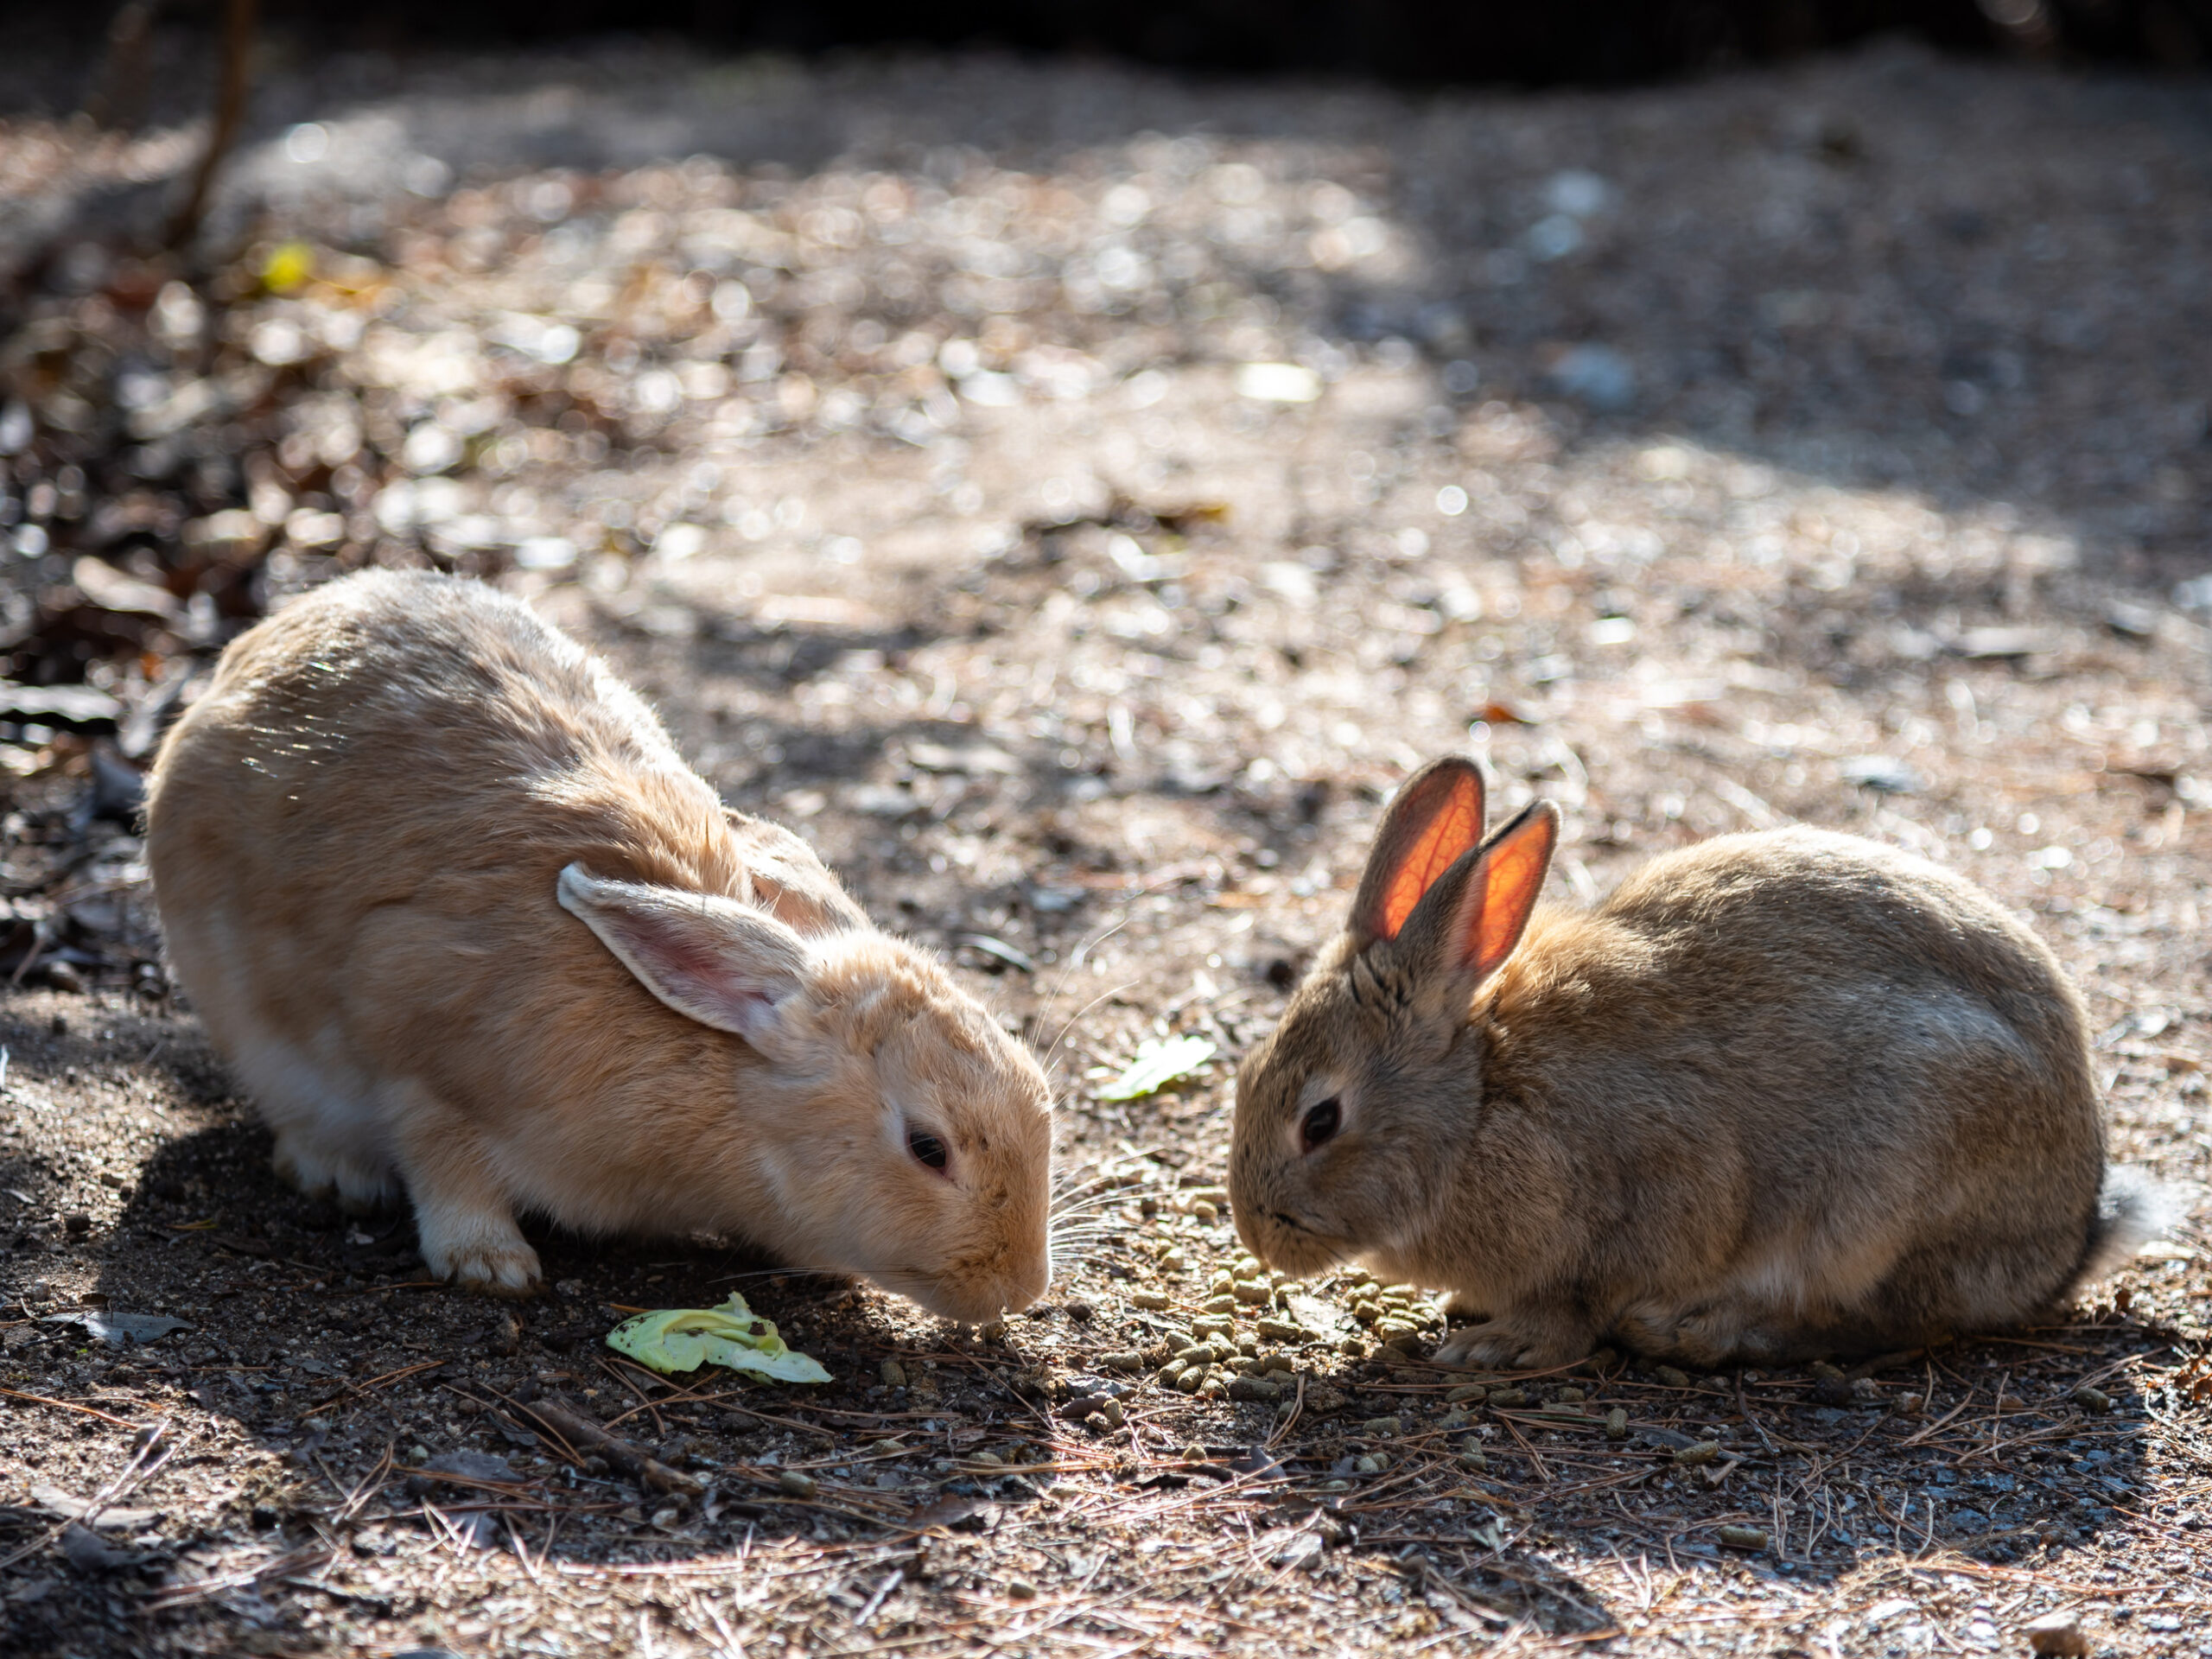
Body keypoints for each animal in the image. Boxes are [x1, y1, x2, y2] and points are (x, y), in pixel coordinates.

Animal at [144, 569, 1053, 1323]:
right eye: (928, 1149)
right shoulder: (421, 1054)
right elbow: (442, 1158)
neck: (720, 1074)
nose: (1019, 1289)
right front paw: (491, 1265)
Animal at [1230, 755, 2171, 1369]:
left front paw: (1494, 1346)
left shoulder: (1651, 1194)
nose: (1258, 1236)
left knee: (1880, 1327)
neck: (1477, 1101)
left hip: (1888, 1193)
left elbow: (1574, 1307)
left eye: (1321, 1121)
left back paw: (1698, 1335)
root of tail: (2073, 1233)